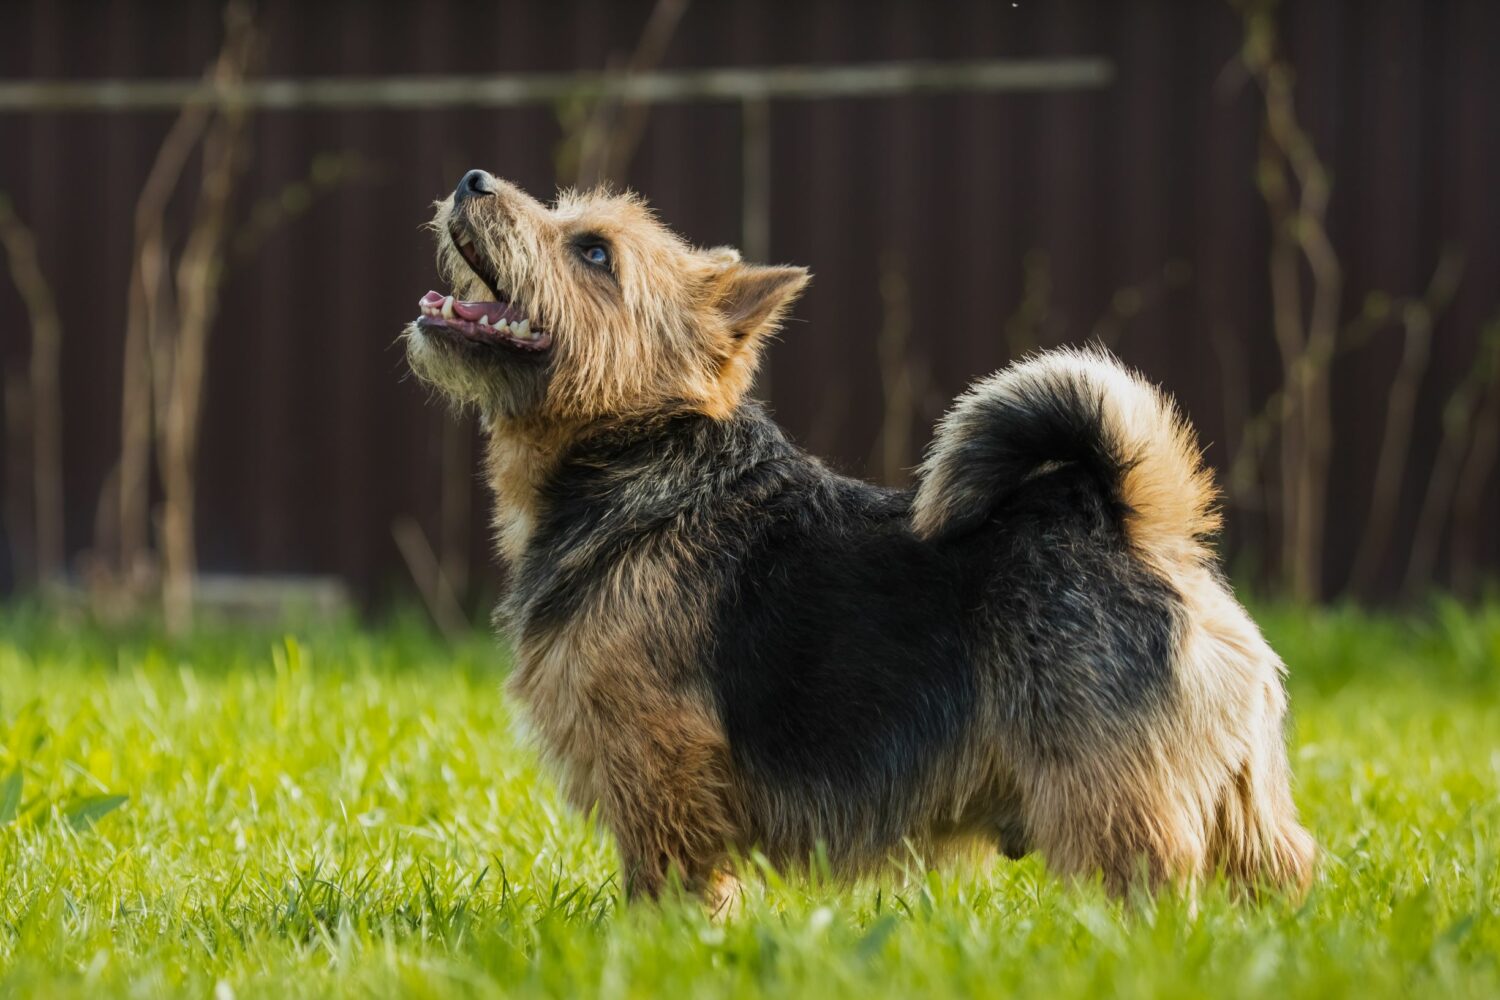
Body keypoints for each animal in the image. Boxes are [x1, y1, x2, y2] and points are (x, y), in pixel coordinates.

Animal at [405, 167, 1320, 905]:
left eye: (594, 252)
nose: (473, 178)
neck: (645, 459)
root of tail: (1135, 529)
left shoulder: (662, 772)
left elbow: (670, 889)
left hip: (1109, 799)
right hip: (1244, 810)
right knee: (1283, 871)